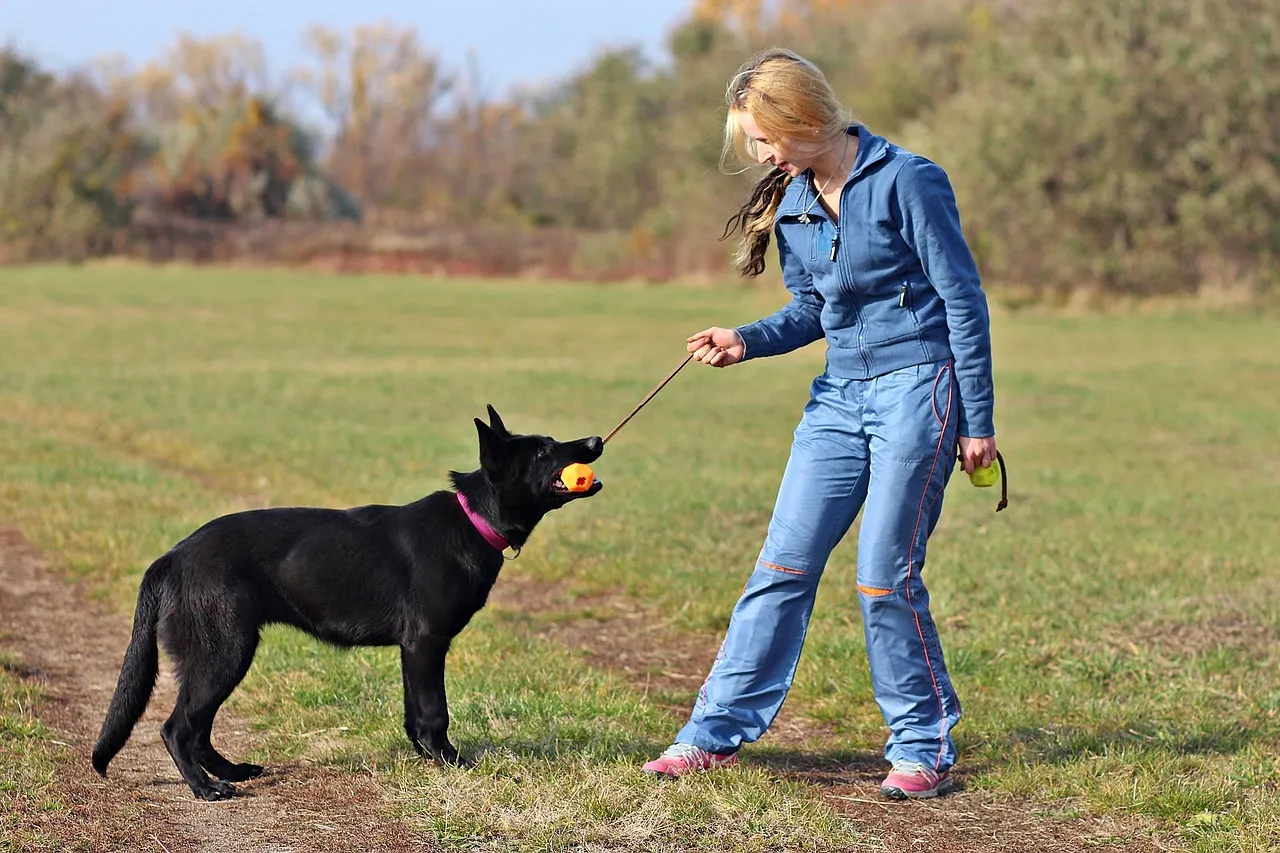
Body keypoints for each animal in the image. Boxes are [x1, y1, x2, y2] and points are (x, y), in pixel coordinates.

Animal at [92, 404, 601, 799]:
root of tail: (173, 556)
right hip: (224, 653)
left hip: (223, 657)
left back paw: (231, 772)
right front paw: (452, 764)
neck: (473, 517)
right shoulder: (427, 645)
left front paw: (427, 759)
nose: (596, 440)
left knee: (198, 729)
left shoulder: (412, 651)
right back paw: (206, 788)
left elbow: (414, 715)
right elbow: (435, 712)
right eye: (543, 451)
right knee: (178, 728)